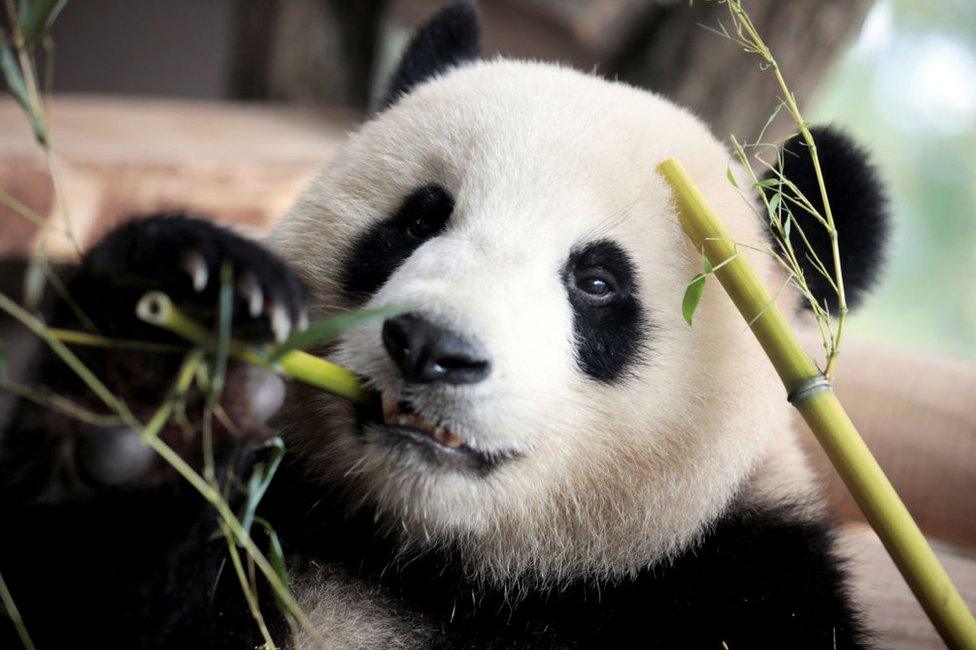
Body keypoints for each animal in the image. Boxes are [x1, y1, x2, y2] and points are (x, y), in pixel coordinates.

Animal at [0, 2, 888, 644]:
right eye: (419, 218)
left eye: (598, 283)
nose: (430, 348)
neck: (429, 564)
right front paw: (154, 362)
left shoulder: (732, 585)